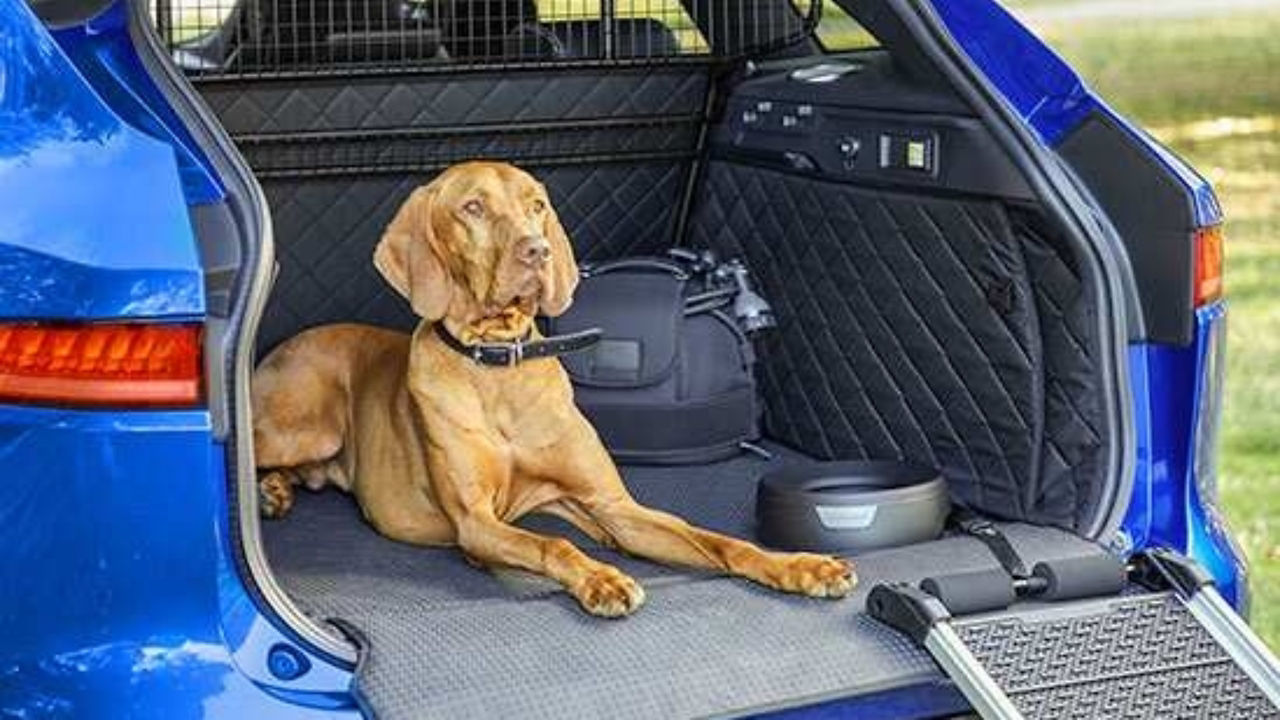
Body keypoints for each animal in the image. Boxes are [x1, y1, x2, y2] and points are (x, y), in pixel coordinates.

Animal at [249, 159, 855, 614]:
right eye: (473, 207)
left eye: (536, 205)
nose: (536, 250)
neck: (500, 366)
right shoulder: (476, 525)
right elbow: (553, 542)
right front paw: (602, 580)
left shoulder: (613, 509)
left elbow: (719, 541)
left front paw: (802, 565)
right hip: (307, 426)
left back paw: (275, 490)